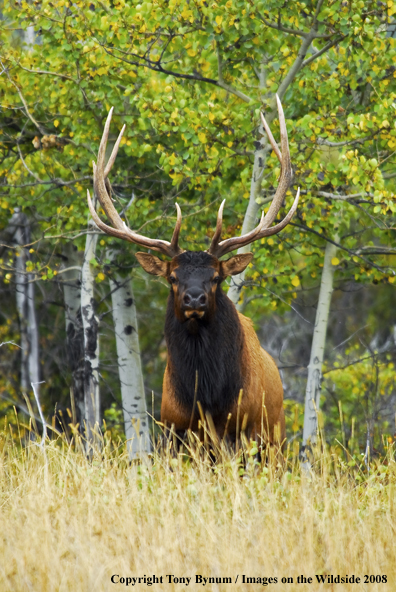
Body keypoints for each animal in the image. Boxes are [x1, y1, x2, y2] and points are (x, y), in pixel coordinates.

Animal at [86, 98, 296, 448]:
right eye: (172, 277)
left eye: (216, 277)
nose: (194, 299)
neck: (206, 398)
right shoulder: (174, 429)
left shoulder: (242, 429)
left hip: (274, 437)